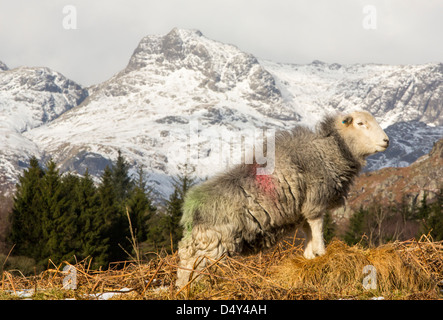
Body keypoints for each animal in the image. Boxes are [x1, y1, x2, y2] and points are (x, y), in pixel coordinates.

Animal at [175, 110, 390, 288]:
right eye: (361, 123)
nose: (386, 140)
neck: (330, 149)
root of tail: (190, 209)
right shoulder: (314, 200)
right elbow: (317, 227)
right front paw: (322, 253)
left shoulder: (302, 208)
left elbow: (307, 230)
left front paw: (309, 256)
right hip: (214, 243)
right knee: (199, 266)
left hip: (201, 241)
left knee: (186, 260)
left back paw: (183, 288)